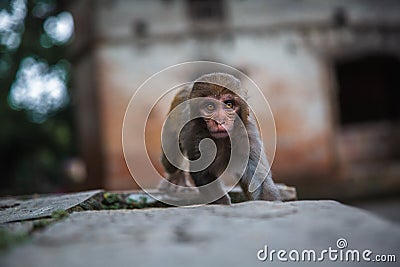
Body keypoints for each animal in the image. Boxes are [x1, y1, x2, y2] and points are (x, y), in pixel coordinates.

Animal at [158, 73, 280, 205]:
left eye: (229, 105)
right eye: (210, 107)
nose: (220, 121)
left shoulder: (247, 133)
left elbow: (255, 173)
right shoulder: (194, 134)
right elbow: (202, 173)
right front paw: (222, 202)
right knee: (171, 161)